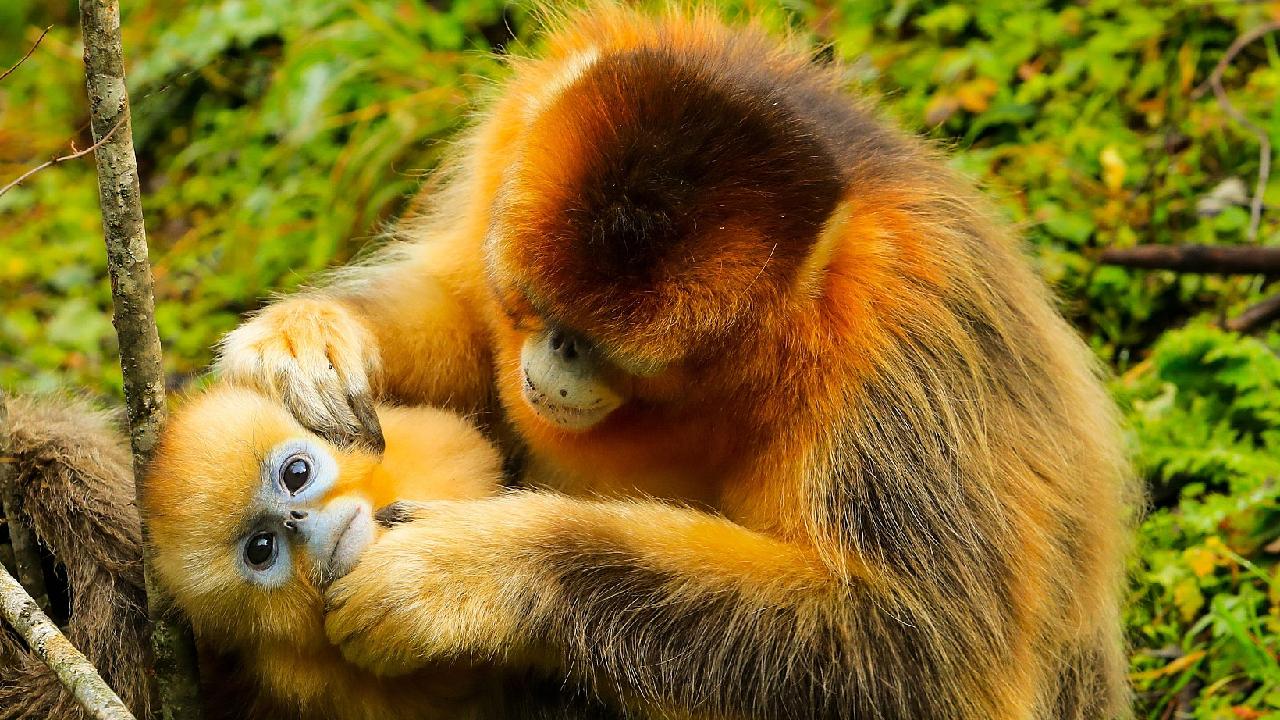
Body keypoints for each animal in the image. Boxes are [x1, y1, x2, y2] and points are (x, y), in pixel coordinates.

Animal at [215, 7, 1136, 717]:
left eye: (605, 348)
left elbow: (909, 656)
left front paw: (474, 575)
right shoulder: (515, 124)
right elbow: (470, 334)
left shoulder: (900, 342)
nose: (554, 358)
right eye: (539, 310)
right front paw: (312, 336)